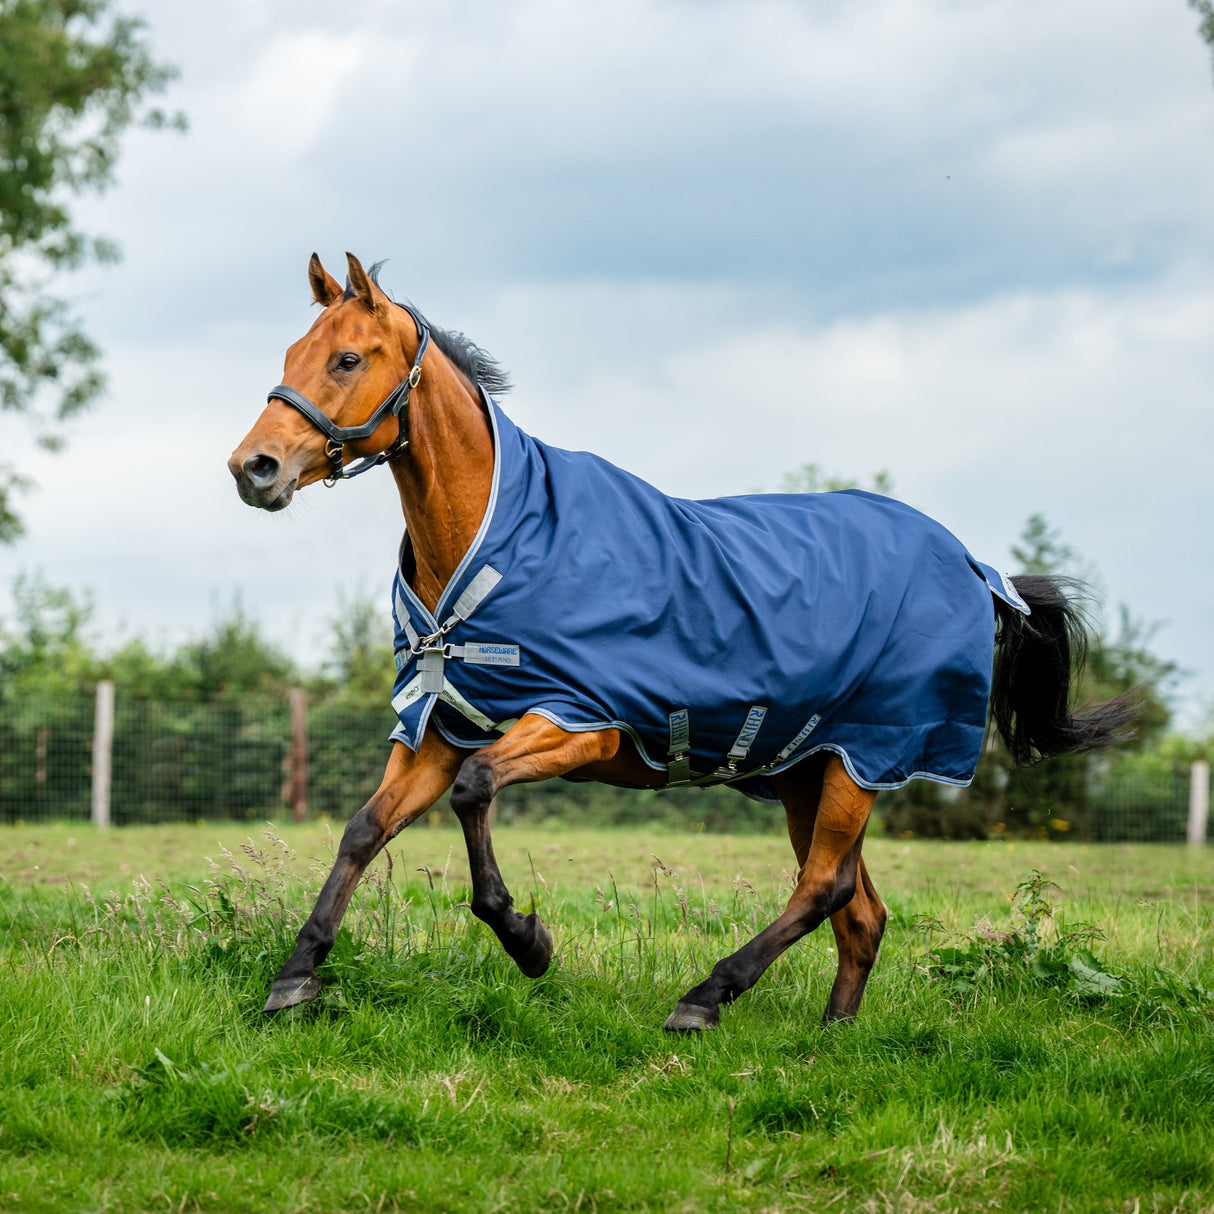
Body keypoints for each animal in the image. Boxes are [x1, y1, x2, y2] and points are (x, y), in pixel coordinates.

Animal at [229, 251, 1136, 1029]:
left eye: (348, 359)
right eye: (295, 351)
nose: (254, 468)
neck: (501, 537)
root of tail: (977, 568)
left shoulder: (578, 722)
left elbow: (478, 793)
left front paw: (529, 942)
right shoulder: (439, 729)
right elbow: (364, 828)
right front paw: (296, 976)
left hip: (865, 762)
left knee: (825, 887)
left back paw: (706, 996)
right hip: (811, 771)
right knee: (859, 910)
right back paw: (832, 1037)